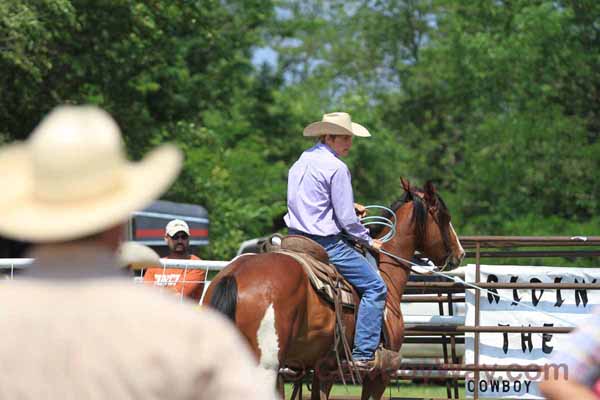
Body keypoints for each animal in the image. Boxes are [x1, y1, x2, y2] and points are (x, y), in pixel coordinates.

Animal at [204, 180, 466, 398]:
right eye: (444, 216)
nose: (460, 253)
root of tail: (234, 276)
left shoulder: (323, 369)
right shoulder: (378, 374)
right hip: (264, 367)